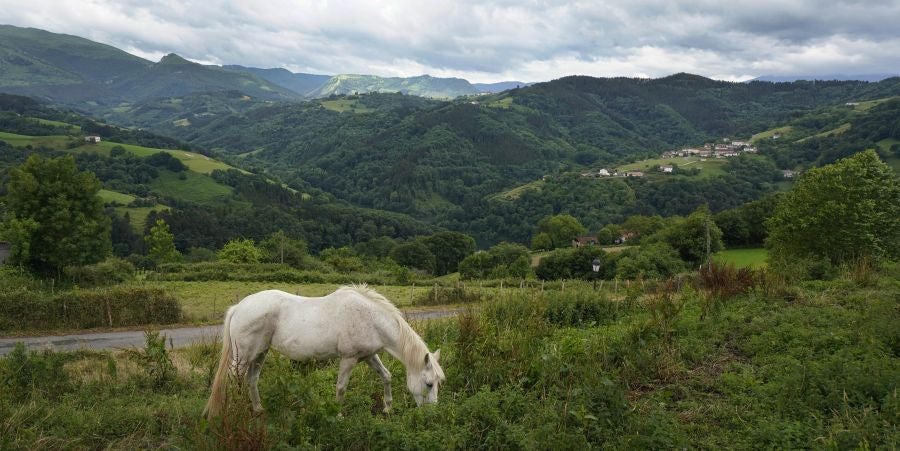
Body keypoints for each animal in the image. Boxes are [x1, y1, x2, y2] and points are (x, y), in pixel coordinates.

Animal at [202, 286, 444, 420]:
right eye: (429, 384)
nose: (432, 414)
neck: (371, 318)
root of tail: (239, 307)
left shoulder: (368, 356)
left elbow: (386, 376)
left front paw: (387, 408)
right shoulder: (349, 359)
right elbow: (341, 388)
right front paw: (338, 415)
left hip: (259, 354)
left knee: (251, 379)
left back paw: (258, 409)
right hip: (243, 355)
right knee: (230, 380)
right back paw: (230, 413)